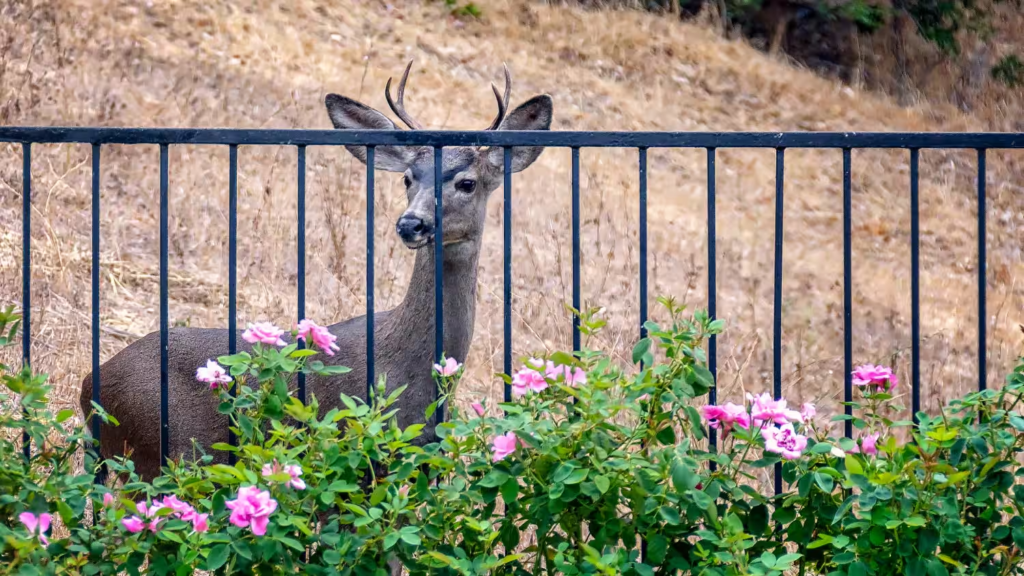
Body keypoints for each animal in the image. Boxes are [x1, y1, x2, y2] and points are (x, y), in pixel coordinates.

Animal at [79, 61, 554, 483]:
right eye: (407, 178)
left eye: (468, 182)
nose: (411, 224)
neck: (408, 367)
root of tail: (88, 388)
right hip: (159, 453)